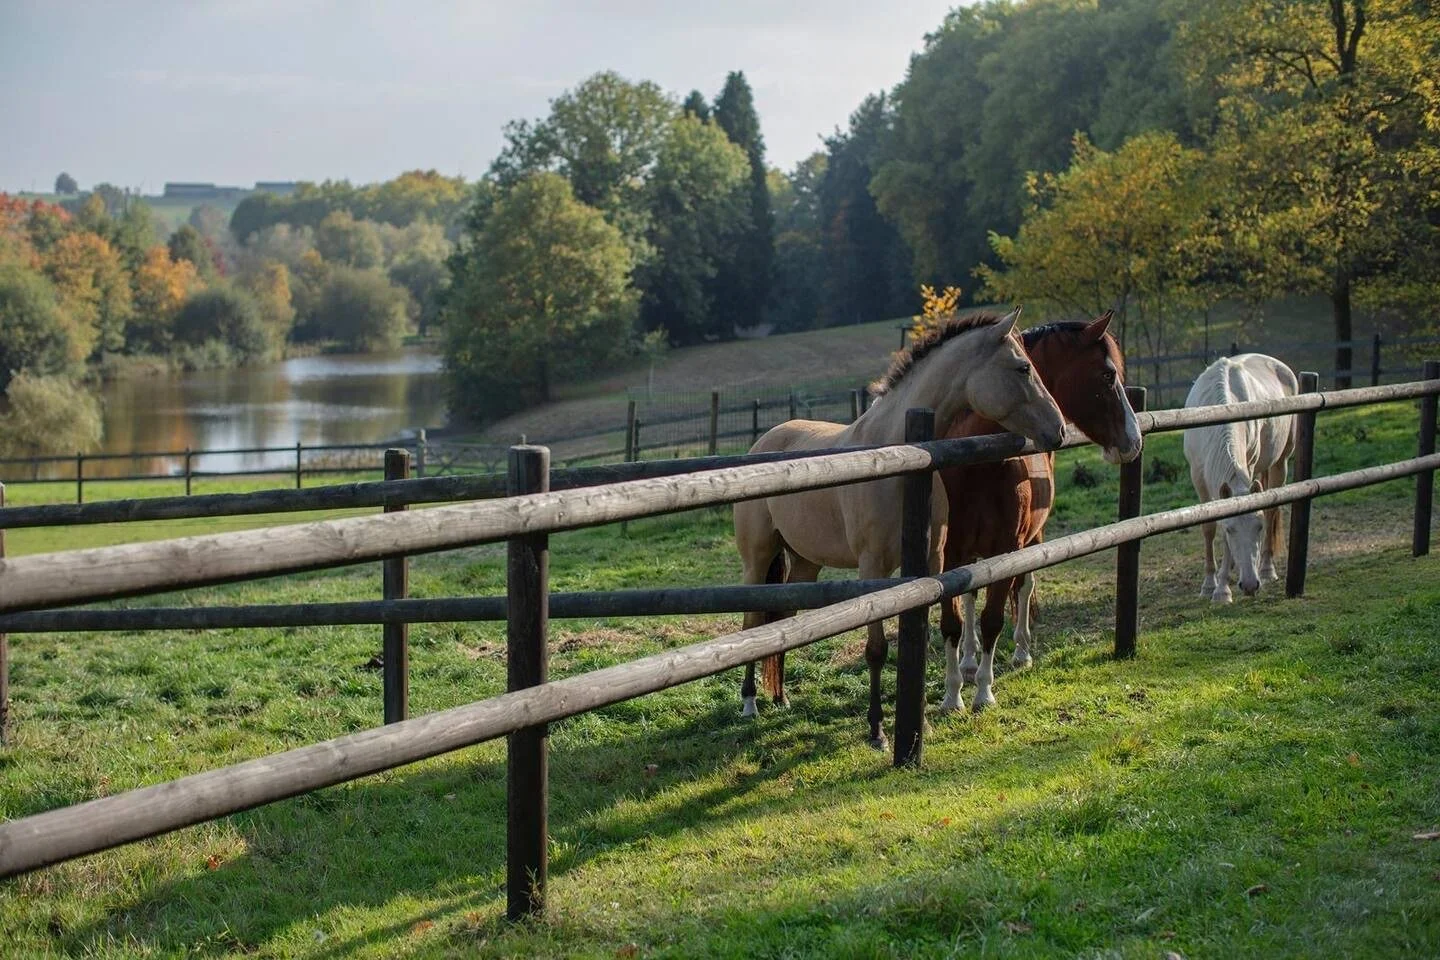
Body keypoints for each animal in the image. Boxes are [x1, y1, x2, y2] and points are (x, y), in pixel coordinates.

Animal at [732, 307, 1068, 749]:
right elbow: (876, 649)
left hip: (805, 561)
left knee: (784, 620)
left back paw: (781, 698)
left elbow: (927, 634)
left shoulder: (931, 561)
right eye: (1023, 367)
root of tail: (763, 443)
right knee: (753, 621)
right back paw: (750, 702)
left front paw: (923, 721)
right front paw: (878, 732)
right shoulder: (873, 568)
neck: (899, 457)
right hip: (759, 557)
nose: (1059, 429)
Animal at [937, 312, 1143, 714]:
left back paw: (1020, 653)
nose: (1134, 441)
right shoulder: (949, 553)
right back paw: (968, 661)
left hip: (1032, 539)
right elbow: (954, 618)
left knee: (1024, 586)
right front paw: (953, 694)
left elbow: (993, 618)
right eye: (1108, 375)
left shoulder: (1008, 548)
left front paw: (984, 692)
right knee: (972, 597)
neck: (977, 462)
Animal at [1182, 353, 1298, 602]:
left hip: (1280, 463)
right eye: (1230, 530)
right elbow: (1208, 528)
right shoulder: (1197, 476)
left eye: (1258, 528)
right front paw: (1209, 584)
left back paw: (1266, 569)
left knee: (1272, 511)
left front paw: (1222, 589)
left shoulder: (1250, 464)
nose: (1251, 585)